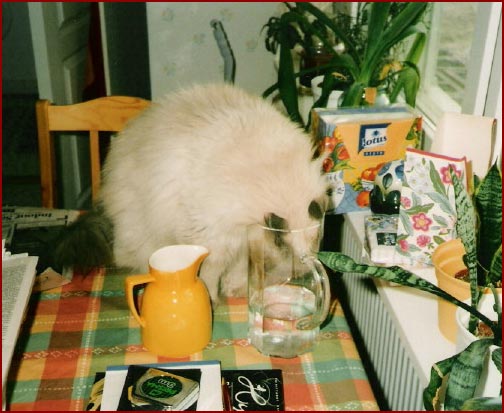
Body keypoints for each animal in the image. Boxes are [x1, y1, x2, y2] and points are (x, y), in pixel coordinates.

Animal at [55, 83, 330, 304]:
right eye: (284, 247)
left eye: (315, 242)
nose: (303, 271)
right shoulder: (214, 238)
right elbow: (209, 274)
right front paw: (210, 300)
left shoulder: (242, 241)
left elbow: (238, 270)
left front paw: (236, 290)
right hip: (143, 230)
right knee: (126, 256)